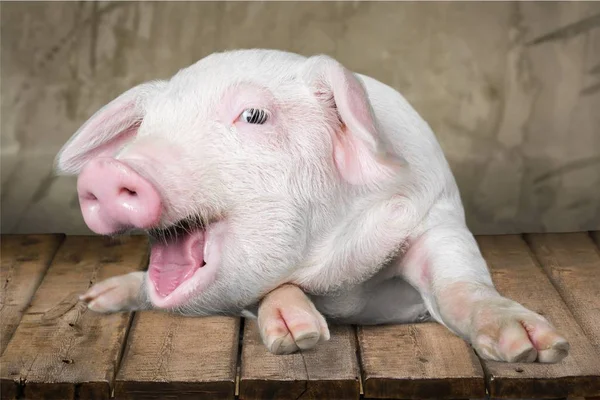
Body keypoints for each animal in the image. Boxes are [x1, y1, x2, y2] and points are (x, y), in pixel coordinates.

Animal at [54, 49, 568, 362]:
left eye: (254, 115)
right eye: (147, 127)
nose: (107, 172)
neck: (340, 281)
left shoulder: (436, 215)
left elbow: (461, 280)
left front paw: (535, 349)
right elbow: (270, 289)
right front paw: (299, 339)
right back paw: (94, 300)